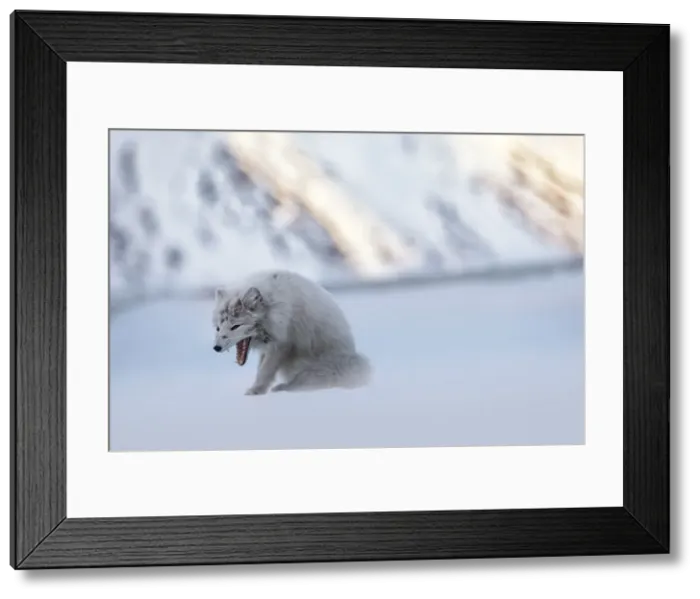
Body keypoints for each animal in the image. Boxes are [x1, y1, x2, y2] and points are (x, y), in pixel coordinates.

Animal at [212, 270, 372, 395]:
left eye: (235, 326)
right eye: (218, 328)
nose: (216, 348)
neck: (275, 306)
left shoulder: (282, 344)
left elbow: (265, 371)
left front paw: (255, 391)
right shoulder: (270, 347)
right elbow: (261, 369)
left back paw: (284, 388)